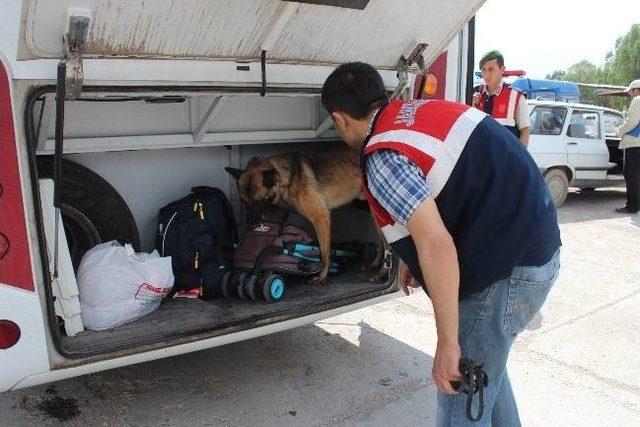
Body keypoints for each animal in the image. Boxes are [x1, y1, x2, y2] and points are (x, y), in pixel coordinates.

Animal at [226, 145, 372, 286]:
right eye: (244, 202)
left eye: (258, 201)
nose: (251, 223)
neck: (287, 179)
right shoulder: (283, 213)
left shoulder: (320, 217)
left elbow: (325, 253)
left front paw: (322, 276)